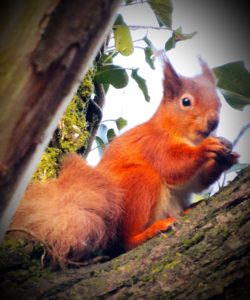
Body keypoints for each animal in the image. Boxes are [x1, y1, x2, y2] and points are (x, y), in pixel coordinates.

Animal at [9, 55, 238, 264]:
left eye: (219, 101)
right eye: (186, 102)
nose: (213, 121)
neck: (182, 135)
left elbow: (197, 182)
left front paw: (227, 157)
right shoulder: (153, 144)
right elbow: (172, 167)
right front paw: (206, 148)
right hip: (139, 184)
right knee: (126, 241)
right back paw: (150, 231)